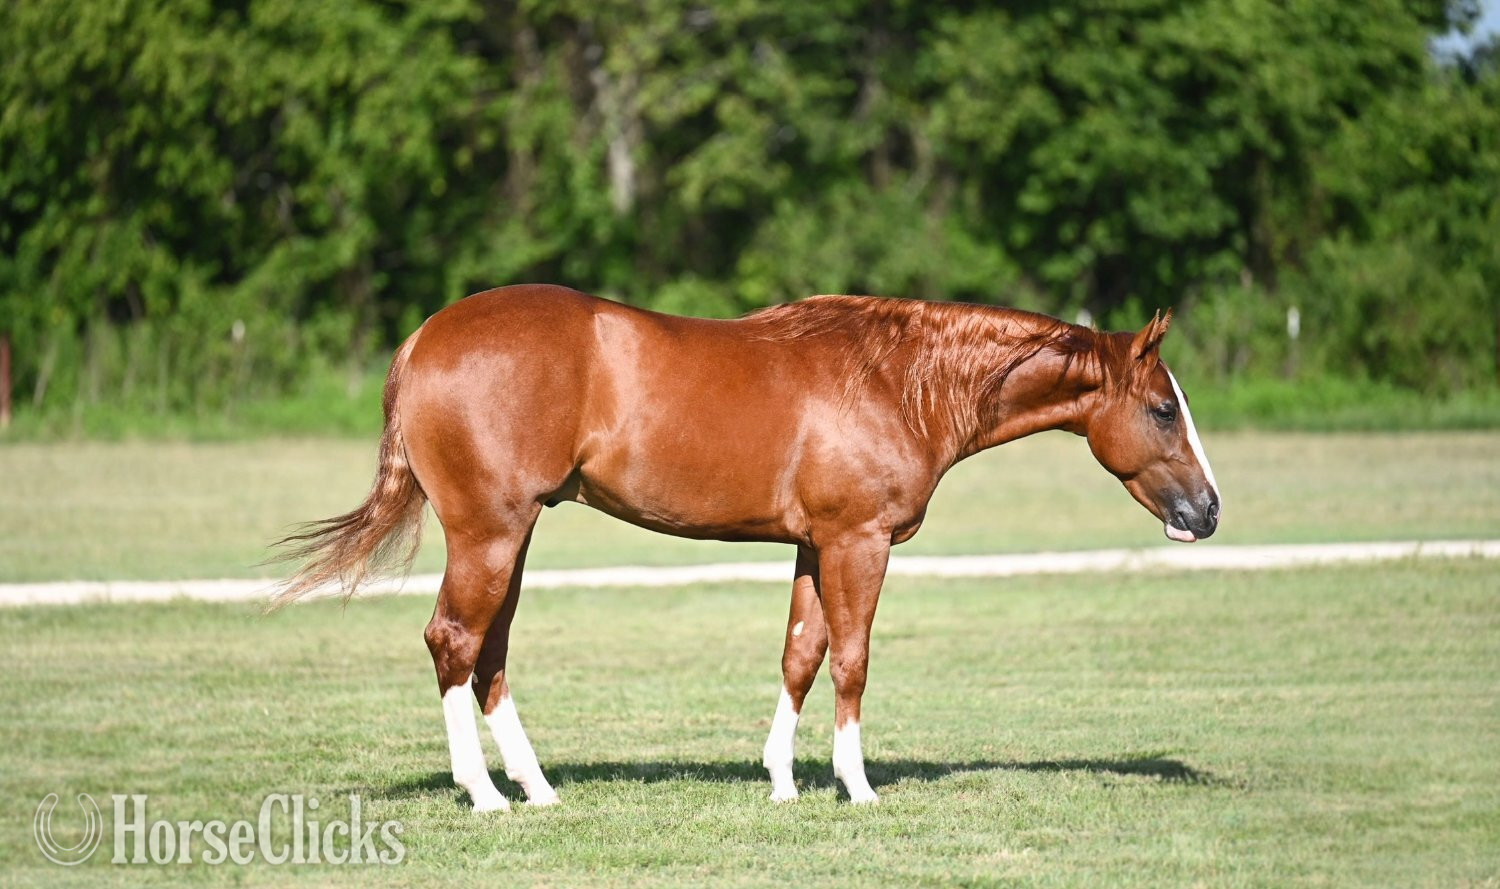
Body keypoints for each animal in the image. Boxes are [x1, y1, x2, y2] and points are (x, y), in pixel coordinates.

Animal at [273, 283, 1220, 809]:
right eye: (1163, 409)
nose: (1208, 511)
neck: (898, 380)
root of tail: (423, 338)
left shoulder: (813, 545)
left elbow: (801, 653)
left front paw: (783, 780)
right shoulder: (860, 542)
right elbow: (852, 659)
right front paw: (856, 785)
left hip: (515, 534)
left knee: (489, 653)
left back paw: (536, 789)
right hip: (490, 531)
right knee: (455, 641)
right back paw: (484, 795)